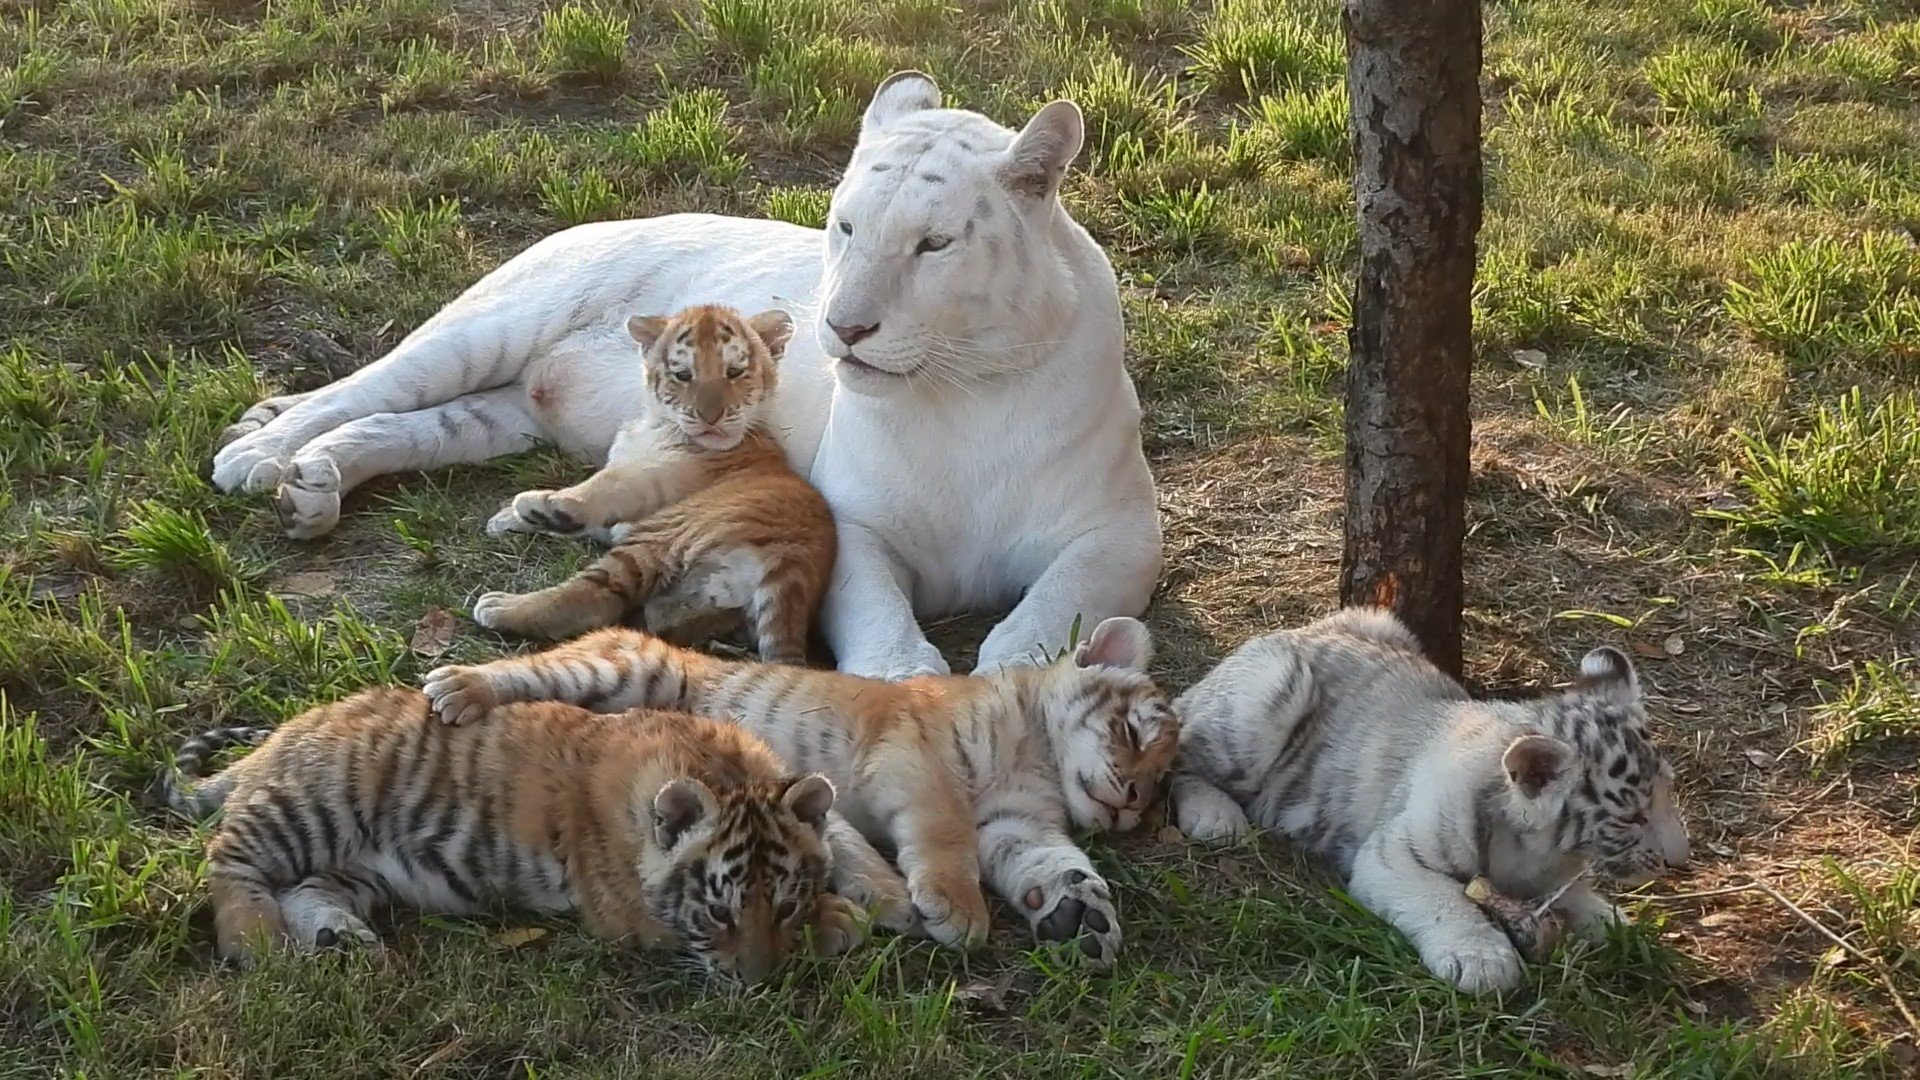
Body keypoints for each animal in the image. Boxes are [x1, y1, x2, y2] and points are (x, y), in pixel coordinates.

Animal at [161, 687, 887, 982]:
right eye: (717, 912)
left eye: (783, 905)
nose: (761, 982)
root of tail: (286, 731)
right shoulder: (625, 915)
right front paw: (838, 921)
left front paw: (834, 913)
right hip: (318, 803)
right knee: (228, 855)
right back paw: (257, 943)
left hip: (358, 864)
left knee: (305, 887)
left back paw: (340, 938)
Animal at [420, 616, 1181, 966]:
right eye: (1135, 733)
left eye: (1158, 784)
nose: (1129, 806)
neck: (1037, 755)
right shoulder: (920, 758)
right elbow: (945, 834)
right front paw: (957, 909)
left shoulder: (1016, 820)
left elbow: (1051, 860)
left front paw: (1080, 914)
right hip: (624, 669)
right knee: (530, 671)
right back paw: (458, 686)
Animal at [477, 304, 835, 661]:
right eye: (683, 375)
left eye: (734, 372)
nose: (710, 416)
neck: (656, 424)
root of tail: (794, 568)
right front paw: (507, 518)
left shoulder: (655, 479)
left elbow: (606, 485)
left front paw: (538, 506)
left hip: (659, 539)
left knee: (595, 600)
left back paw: (500, 606)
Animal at [1168, 607, 1691, 993]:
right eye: (1631, 816)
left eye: (1668, 795)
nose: (1681, 862)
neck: (1538, 847)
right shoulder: (1395, 856)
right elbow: (1444, 901)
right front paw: (1481, 959)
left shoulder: (1550, 880)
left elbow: (1584, 902)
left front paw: (1624, 929)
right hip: (1263, 699)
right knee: (1178, 752)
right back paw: (1214, 816)